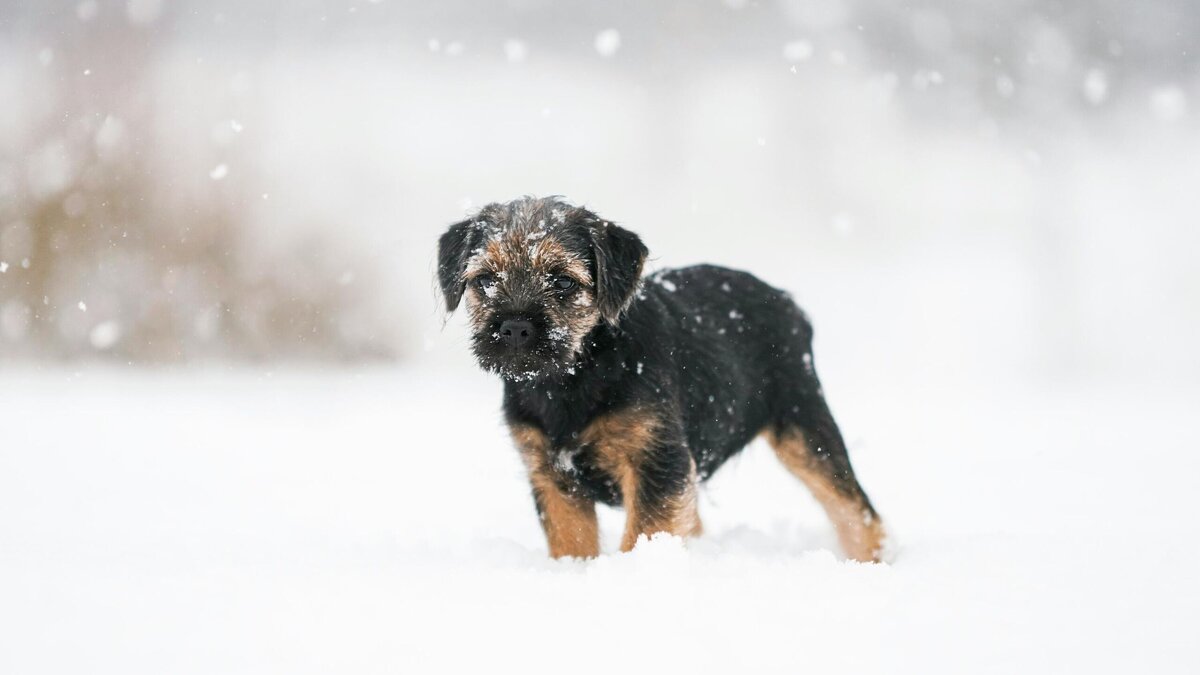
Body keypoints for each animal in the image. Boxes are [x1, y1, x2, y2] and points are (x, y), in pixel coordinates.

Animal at [436, 196, 888, 559]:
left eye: (562, 280)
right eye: (485, 279)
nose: (514, 327)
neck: (573, 378)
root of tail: (787, 301)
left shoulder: (656, 461)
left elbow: (646, 531)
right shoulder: (553, 476)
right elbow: (572, 540)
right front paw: (575, 573)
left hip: (804, 424)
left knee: (855, 509)